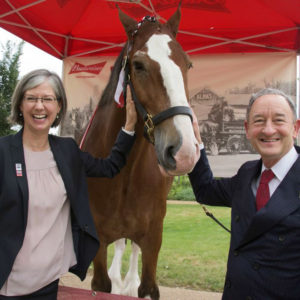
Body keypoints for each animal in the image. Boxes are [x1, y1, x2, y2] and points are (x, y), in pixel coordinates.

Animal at [80, 5, 199, 300]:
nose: (184, 151)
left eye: (187, 64)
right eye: (138, 65)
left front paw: (132, 284)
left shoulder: (153, 239)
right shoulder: (98, 245)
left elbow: (146, 282)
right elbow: (103, 281)